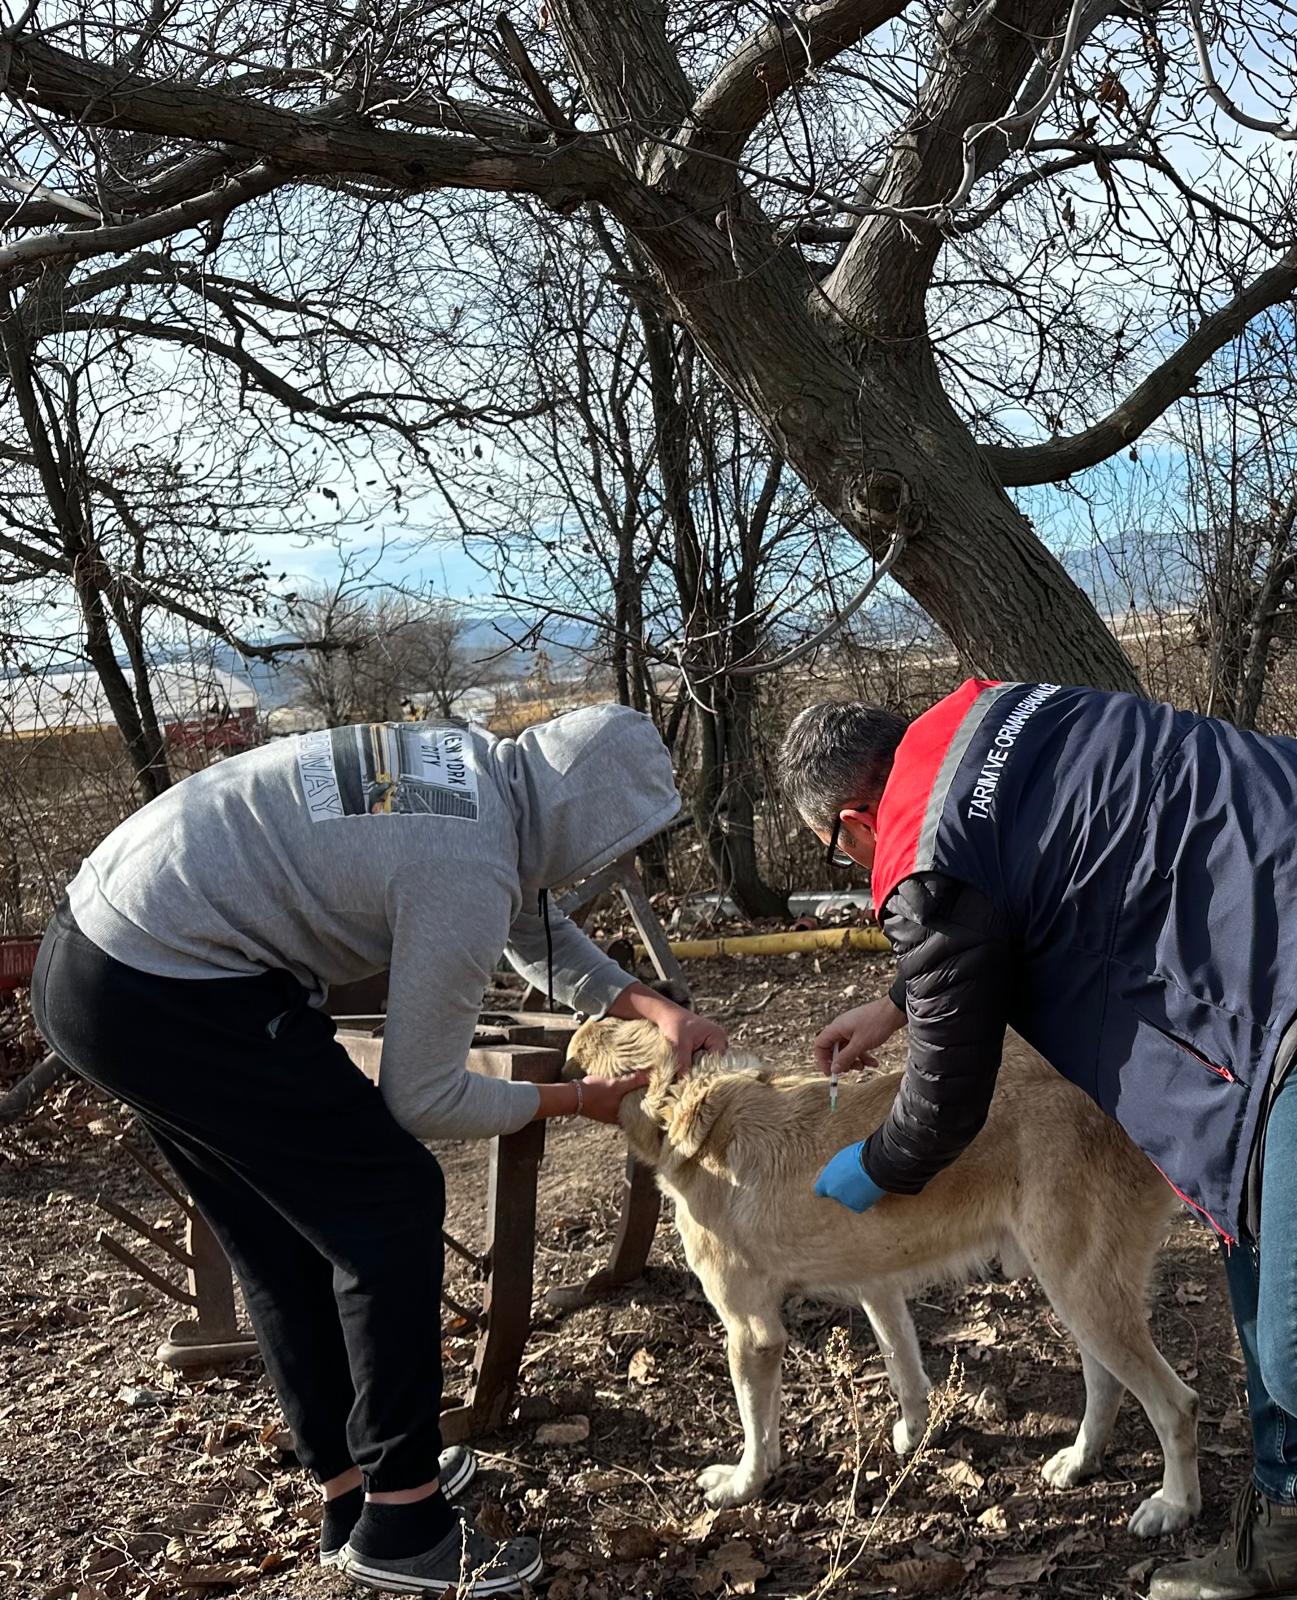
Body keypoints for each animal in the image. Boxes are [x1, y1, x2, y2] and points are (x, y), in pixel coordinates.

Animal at [562, 1024, 1202, 1536]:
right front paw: (916, 1434)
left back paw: (1174, 1505)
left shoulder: (752, 1333)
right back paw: (1080, 1461)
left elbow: (756, 1430)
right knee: (1107, 1383)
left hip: (1080, 1291)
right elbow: (903, 1366)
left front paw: (744, 1485)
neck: (683, 1102)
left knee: (1176, 1406)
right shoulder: (878, 1285)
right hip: (1076, 1293)